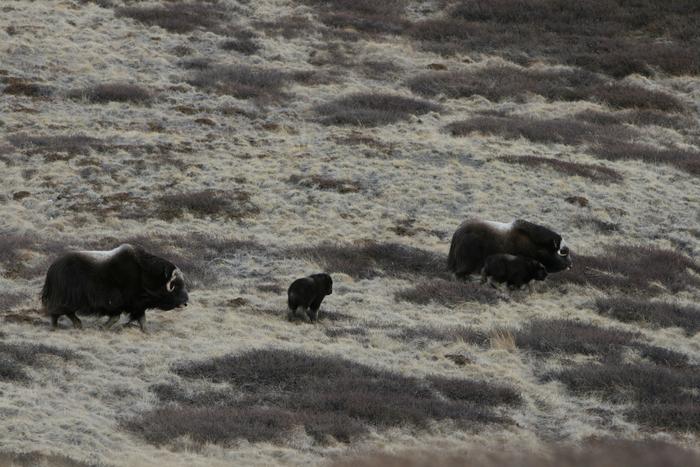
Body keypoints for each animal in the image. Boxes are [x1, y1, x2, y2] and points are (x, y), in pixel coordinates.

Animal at [41, 245, 189, 332]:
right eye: (177, 285)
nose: (186, 302)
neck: (145, 275)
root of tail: (52, 268)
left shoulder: (137, 305)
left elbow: (142, 320)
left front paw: (146, 332)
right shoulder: (117, 301)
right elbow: (116, 317)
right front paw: (103, 327)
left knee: (67, 312)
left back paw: (78, 325)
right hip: (66, 298)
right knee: (57, 312)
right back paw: (56, 327)